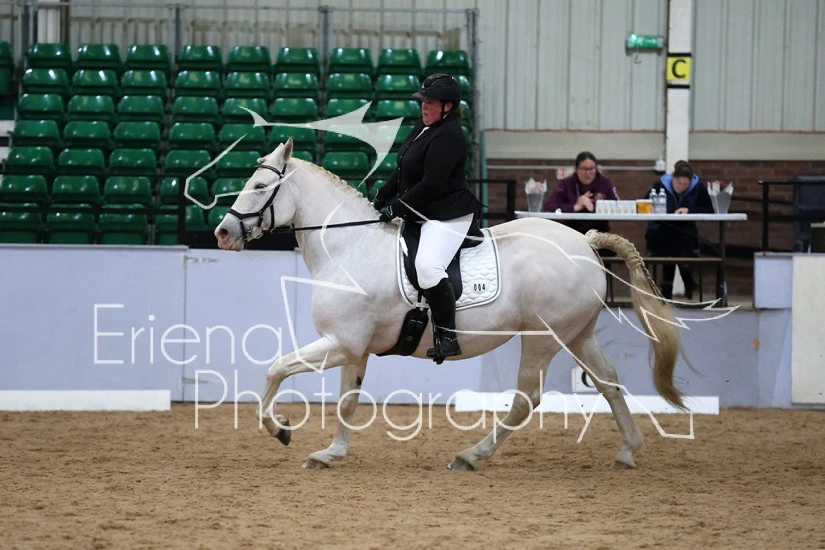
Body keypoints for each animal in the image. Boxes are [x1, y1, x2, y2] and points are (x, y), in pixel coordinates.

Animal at [214, 138, 683, 471]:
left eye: (259, 187)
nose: (222, 233)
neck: (350, 247)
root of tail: (584, 242)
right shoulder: (353, 347)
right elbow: (347, 400)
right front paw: (330, 454)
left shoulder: (340, 343)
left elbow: (277, 368)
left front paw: (280, 430)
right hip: (578, 334)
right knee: (608, 381)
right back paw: (628, 450)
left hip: (543, 338)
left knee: (526, 398)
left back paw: (472, 455)